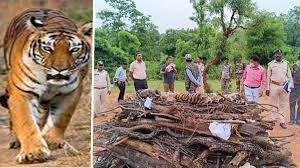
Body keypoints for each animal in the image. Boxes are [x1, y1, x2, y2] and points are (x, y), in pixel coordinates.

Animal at [0, 8, 91, 163]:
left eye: (74, 50)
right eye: (48, 48)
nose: (60, 69)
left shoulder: (71, 91)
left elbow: (61, 118)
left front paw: (50, 141)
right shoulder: (21, 92)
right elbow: (25, 121)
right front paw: (34, 152)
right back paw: (15, 141)